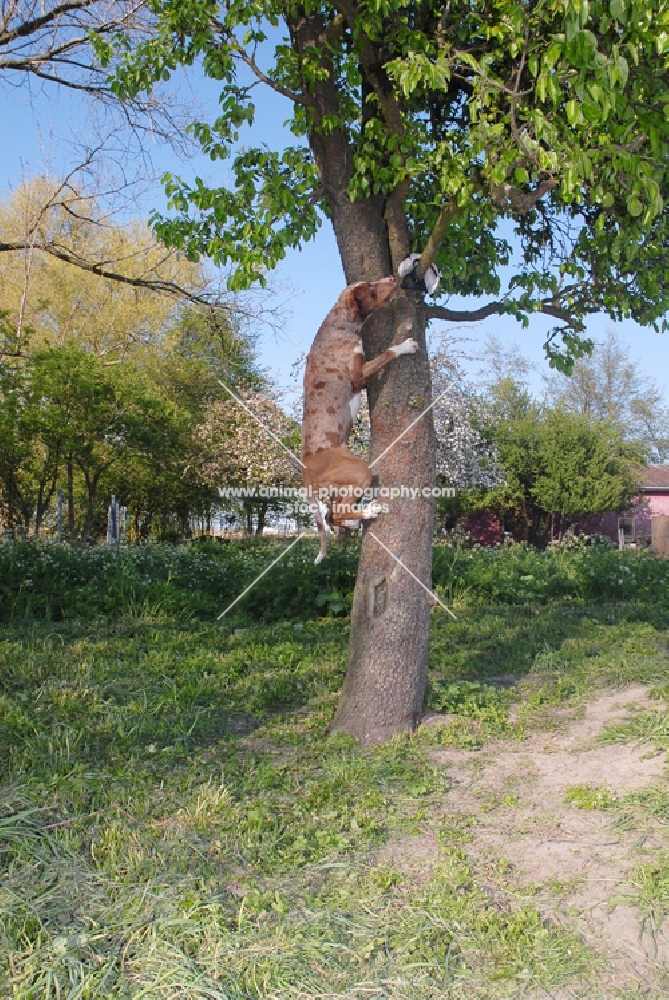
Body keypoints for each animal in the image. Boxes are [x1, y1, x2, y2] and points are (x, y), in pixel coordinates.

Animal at [302, 276, 418, 564]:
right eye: (372, 292)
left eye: (372, 281)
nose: (391, 278)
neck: (337, 324)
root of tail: (305, 469)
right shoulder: (358, 375)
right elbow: (387, 353)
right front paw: (405, 346)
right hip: (360, 471)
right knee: (339, 513)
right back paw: (369, 512)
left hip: (340, 487)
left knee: (333, 515)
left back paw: (355, 521)